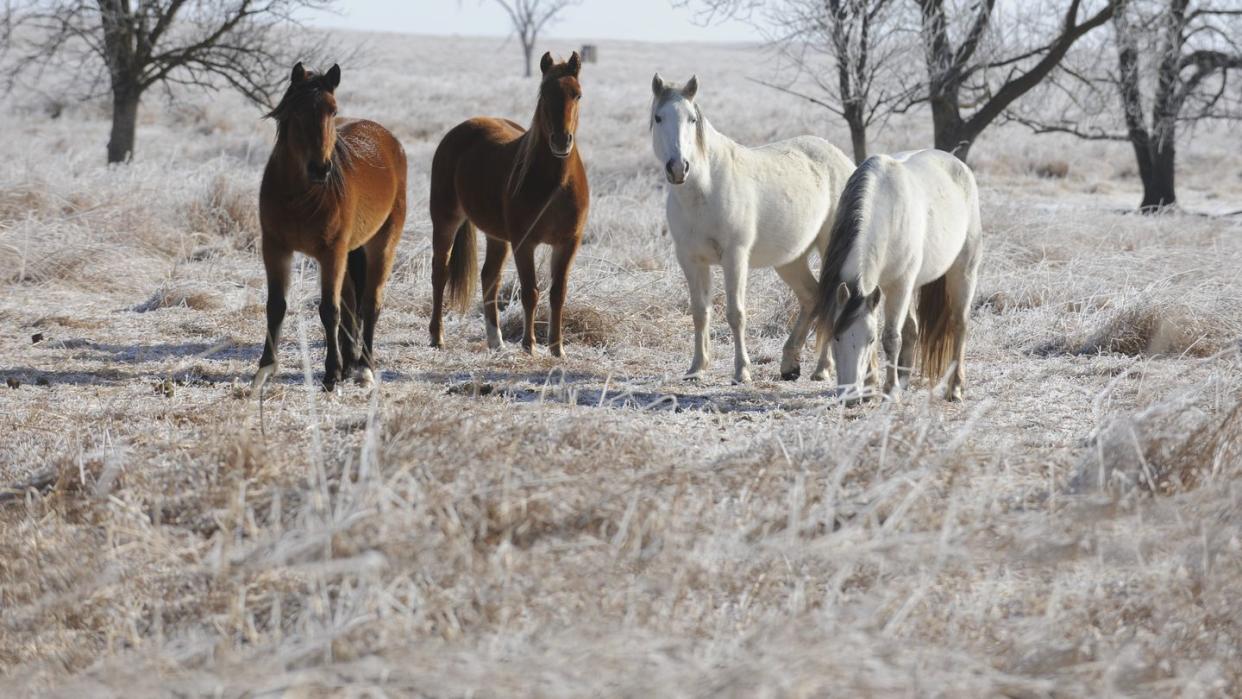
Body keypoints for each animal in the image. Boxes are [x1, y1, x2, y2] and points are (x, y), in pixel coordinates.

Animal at [249, 63, 409, 394]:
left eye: (333, 111)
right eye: (297, 111)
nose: (320, 168)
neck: (299, 195)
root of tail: (391, 142)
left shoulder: (330, 253)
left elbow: (328, 310)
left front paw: (331, 374)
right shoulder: (275, 248)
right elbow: (276, 305)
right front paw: (265, 369)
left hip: (381, 244)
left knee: (369, 304)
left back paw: (364, 368)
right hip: (349, 253)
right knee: (351, 305)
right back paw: (350, 364)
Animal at [429, 51, 588, 355]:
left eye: (578, 94)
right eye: (544, 94)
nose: (561, 141)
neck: (556, 184)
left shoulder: (568, 243)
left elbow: (558, 293)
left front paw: (557, 348)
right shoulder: (524, 243)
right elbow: (530, 292)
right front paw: (529, 345)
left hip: (496, 237)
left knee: (489, 277)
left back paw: (496, 340)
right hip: (445, 220)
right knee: (439, 273)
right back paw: (437, 337)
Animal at [650, 72, 864, 382]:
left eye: (692, 119)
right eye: (658, 117)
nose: (678, 168)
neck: (703, 191)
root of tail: (843, 160)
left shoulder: (735, 257)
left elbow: (735, 314)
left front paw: (742, 371)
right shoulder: (690, 259)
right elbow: (700, 312)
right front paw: (697, 367)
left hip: (830, 249)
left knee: (831, 298)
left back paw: (822, 369)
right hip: (790, 260)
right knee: (811, 297)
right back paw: (789, 364)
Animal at [809, 150, 983, 402]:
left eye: (870, 339)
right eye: (836, 337)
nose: (850, 398)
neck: (884, 209)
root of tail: (959, 164)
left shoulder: (899, 286)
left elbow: (891, 337)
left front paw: (890, 392)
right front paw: (872, 388)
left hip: (963, 272)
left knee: (960, 324)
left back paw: (955, 389)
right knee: (912, 329)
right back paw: (904, 380)